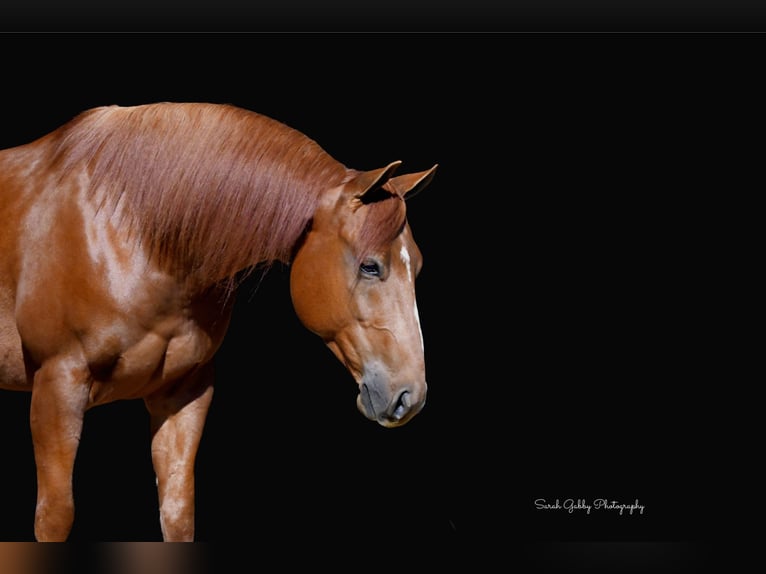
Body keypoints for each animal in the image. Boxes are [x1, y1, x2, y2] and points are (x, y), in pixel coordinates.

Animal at [0, 102, 437, 541]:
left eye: (416, 267)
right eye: (370, 266)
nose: (410, 396)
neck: (132, 232)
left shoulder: (184, 394)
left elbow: (177, 513)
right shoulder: (58, 388)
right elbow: (55, 517)